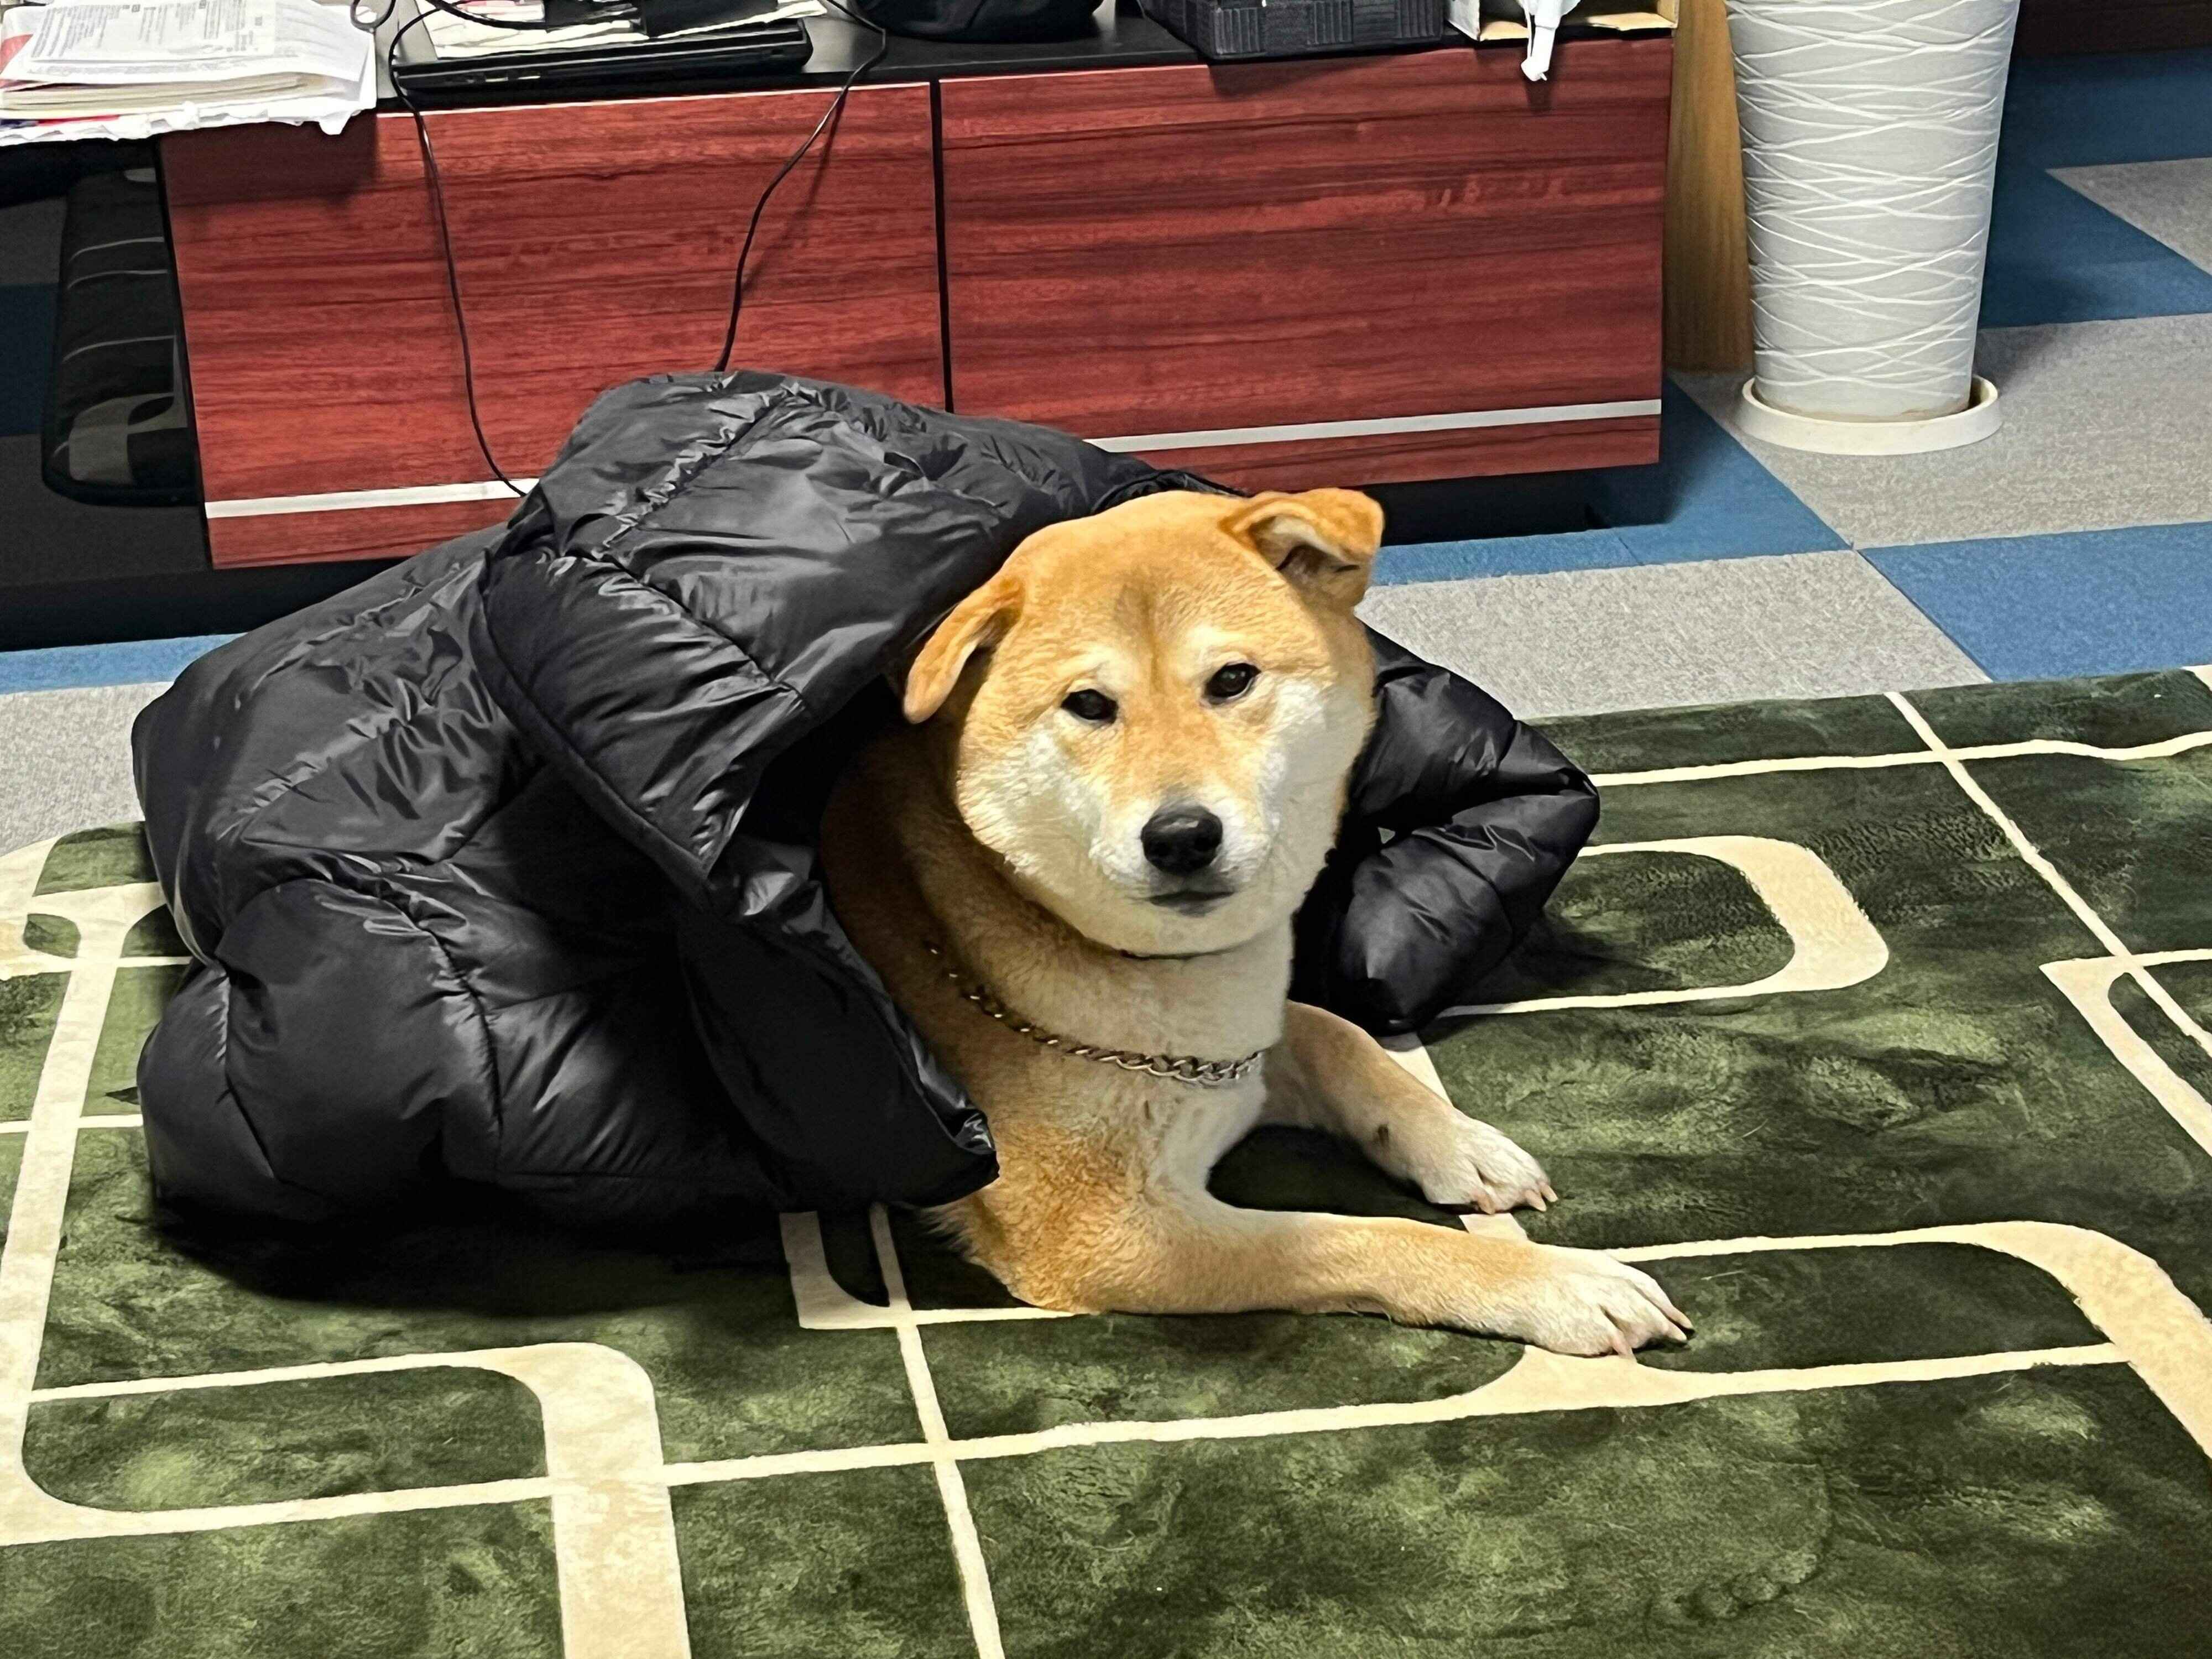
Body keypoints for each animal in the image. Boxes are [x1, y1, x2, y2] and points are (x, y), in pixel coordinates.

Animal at [820, 487, 1689, 1356]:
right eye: (1088, 705)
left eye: (1232, 679)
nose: (1181, 836)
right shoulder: (1097, 1231)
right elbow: (1355, 1238)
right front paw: (1555, 1282)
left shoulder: (1243, 1052)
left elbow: (1340, 1034)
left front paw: (1462, 1143)